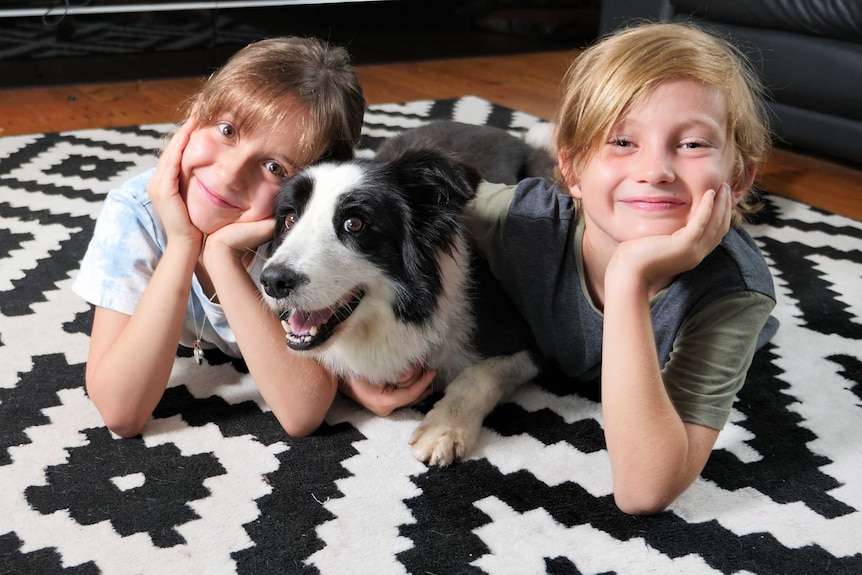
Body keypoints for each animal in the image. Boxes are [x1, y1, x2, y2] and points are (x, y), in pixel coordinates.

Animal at [260, 121, 552, 468]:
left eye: (354, 223)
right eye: (290, 218)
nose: (272, 282)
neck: (403, 312)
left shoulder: (532, 340)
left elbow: (480, 374)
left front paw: (444, 429)